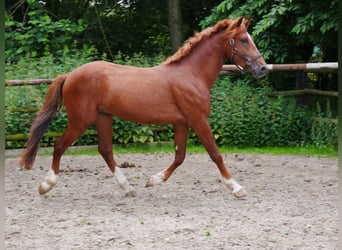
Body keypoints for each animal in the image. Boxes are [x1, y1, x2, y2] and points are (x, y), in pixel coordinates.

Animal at [19, 16, 268, 198]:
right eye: (243, 40)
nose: (263, 68)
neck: (191, 74)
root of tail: (70, 75)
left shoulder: (182, 123)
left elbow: (180, 156)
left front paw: (152, 181)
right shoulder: (198, 120)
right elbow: (215, 154)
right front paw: (236, 188)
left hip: (103, 117)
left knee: (105, 150)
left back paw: (127, 188)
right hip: (81, 120)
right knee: (60, 145)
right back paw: (46, 185)